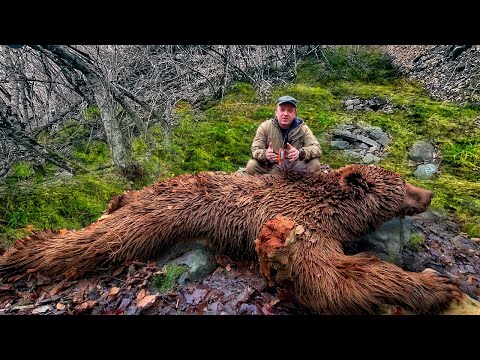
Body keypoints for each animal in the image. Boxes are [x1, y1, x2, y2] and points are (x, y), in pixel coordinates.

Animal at [0, 163, 462, 312]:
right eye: (402, 185)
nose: (428, 193)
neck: (334, 210)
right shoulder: (300, 227)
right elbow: (331, 279)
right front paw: (434, 285)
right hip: (157, 214)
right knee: (98, 240)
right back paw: (20, 251)